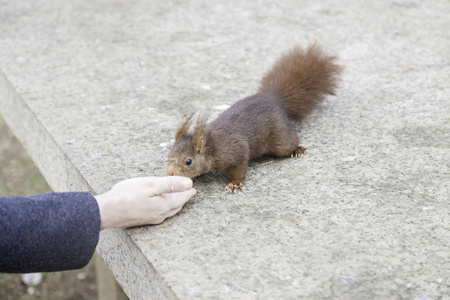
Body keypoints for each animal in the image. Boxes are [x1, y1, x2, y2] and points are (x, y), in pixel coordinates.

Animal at [166, 45, 342, 193]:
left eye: (188, 161)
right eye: (169, 155)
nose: (170, 173)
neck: (212, 147)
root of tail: (274, 100)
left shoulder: (237, 151)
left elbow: (240, 169)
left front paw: (235, 183)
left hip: (280, 138)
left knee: (289, 142)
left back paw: (297, 149)